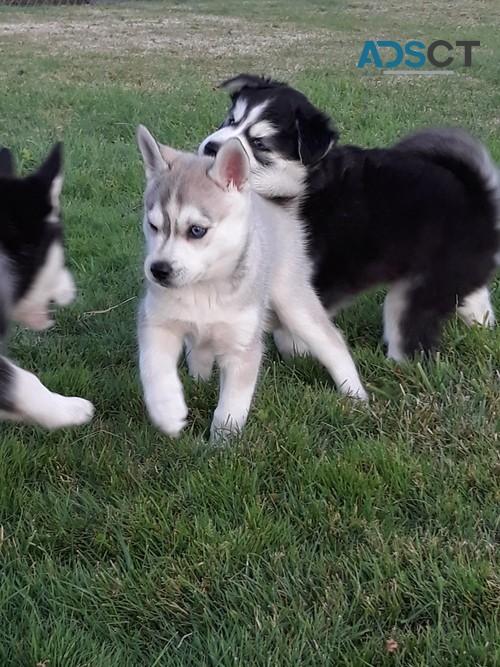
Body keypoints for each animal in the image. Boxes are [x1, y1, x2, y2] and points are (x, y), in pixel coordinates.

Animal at [137, 126, 368, 444]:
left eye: (196, 230)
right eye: (154, 225)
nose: (158, 270)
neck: (204, 289)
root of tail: (276, 205)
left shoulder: (242, 346)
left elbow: (231, 404)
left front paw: (221, 443)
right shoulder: (157, 322)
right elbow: (155, 368)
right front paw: (168, 411)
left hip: (293, 303)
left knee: (331, 341)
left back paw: (356, 394)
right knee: (200, 349)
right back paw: (199, 381)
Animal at [200, 74, 500, 360]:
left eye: (259, 143)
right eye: (230, 120)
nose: (211, 147)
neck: (296, 184)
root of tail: (478, 196)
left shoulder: (317, 273)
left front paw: (297, 350)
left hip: (417, 291)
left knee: (410, 338)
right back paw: (481, 325)